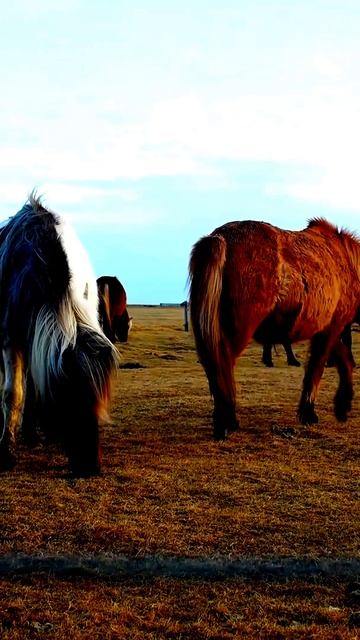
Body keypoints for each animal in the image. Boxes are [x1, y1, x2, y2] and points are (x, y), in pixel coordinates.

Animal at [188, 219, 360, 440]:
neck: (347, 260)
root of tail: (220, 238)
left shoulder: (327, 330)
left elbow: (342, 359)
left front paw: (342, 404)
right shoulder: (333, 327)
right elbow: (317, 367)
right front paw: (309, 412)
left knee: (214, 366)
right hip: (237, 331)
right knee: (223, 365)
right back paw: (226, 423)